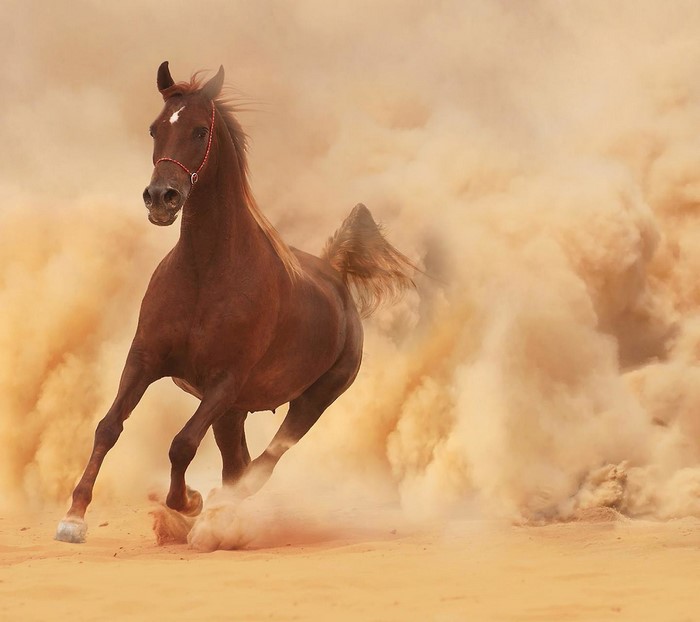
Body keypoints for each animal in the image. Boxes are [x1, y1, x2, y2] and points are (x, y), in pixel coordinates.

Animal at [56, 61, 416, 543]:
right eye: (155, 128)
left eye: (199, 131)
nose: (161, 198)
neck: (205, 273)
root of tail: (335, 275)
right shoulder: (145, 359)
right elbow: (108, 427)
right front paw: (73, 518)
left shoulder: (224, 381)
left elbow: (182, 444)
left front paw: (189, 502)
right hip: (235, 413)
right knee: (238, 463)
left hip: (311, 400)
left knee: (261, 466)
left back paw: (218, 516)